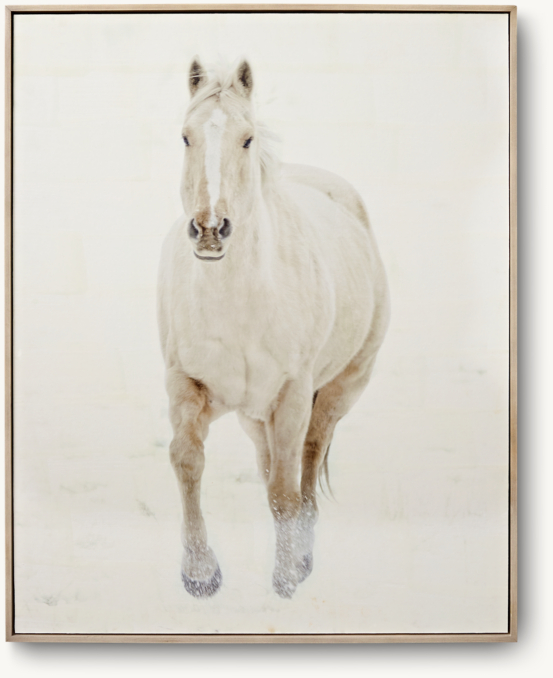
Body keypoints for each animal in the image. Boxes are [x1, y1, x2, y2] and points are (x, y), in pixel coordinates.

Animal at [157, 58, 390, 599]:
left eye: (246, 139)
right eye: (185, 137)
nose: (209, 230)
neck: (237, 305)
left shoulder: (292, 395)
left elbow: (285, 491)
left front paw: (285, 577)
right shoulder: (185, 382)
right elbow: (187, 460)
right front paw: (199, 574)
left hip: (338, 391)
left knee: (306, 463)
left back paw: (302, 556)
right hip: (252, 414)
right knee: (271, 466)